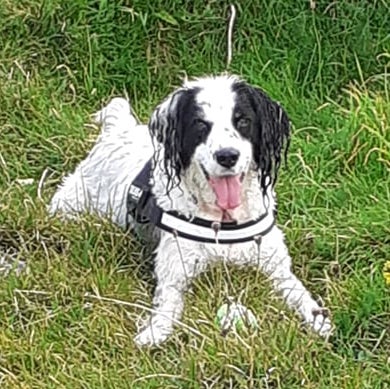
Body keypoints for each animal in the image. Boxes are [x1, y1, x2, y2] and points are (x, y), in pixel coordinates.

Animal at [49, 74, 332, 344]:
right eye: (200, 124)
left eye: (242, 121)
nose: (227, 156)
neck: (223, 221)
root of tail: (116, 131)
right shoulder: (175, 275)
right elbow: (167, 309)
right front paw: (153, 333)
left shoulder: (277, 269)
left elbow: (301, 296)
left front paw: (319, 322)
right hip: (68, 207)